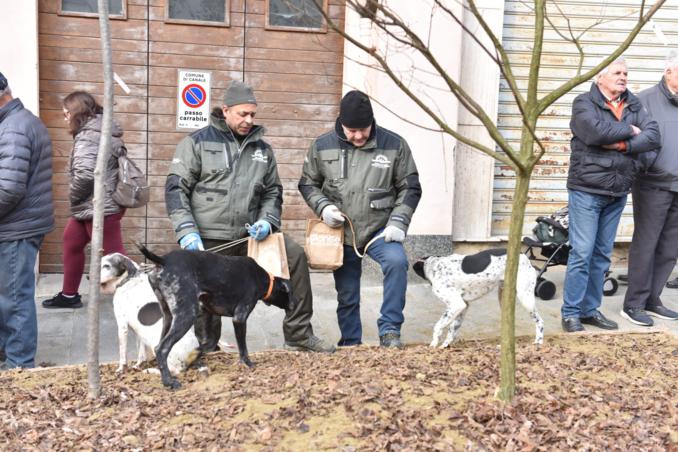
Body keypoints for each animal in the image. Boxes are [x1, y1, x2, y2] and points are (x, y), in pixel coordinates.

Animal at [138, 244, 298, 388]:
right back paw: (169, 382)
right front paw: (247, 363)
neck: (261, 278)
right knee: (162, 348)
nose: (296, 304)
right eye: (291, 292)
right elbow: (243, 348)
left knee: (159, 347)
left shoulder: (208, 313)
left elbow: (205, 344)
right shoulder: (239, 318)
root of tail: (164, 260)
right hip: (187, 315)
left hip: (168, 317)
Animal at [412, 249, 544, 348]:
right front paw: (445, 345)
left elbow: (438, 326)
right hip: (504, 298)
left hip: (525, 298)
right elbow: (452, 328)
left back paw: (539, 341)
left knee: (540, 321)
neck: (434, 265)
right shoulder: (463, 306)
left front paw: (434, 344)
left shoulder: (456, 304)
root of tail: (526, 258)